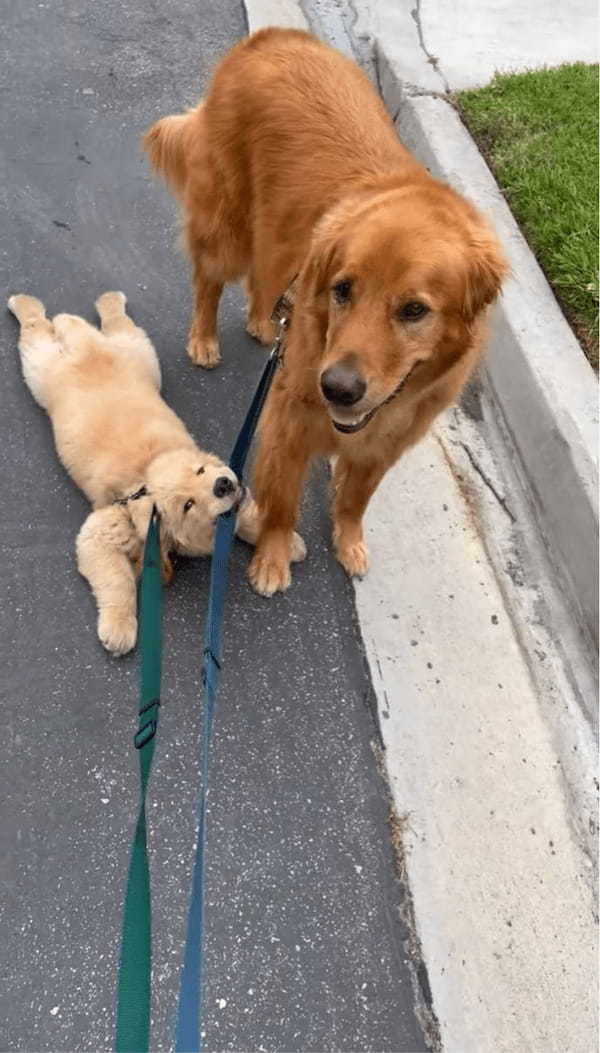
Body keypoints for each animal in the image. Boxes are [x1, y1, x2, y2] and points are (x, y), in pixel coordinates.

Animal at [9, 288, 305, 648]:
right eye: (188, 505)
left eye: (201, 471)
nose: (222, 484)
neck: (147, 472)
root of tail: (85, 343)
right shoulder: (100, 531)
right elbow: (117, 579)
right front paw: (119, 627)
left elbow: (249, 517)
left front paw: (288, 545)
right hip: (42, 368)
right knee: (36, 328)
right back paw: (23, 303)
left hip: (140, 353)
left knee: (115, 322)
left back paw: (108, 300)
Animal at [143, 28, 505, 598]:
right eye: (343, 290)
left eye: (413, 309)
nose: (337, 388)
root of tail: (271, 36)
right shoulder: (288, 422)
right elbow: (282, 502)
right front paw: (272, 559)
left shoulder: (387, 441)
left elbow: (356, 498)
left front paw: (349, 541)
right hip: (226, 224)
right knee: (209, 281)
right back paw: (203, 338)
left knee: (265, 279)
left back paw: (264, 321)